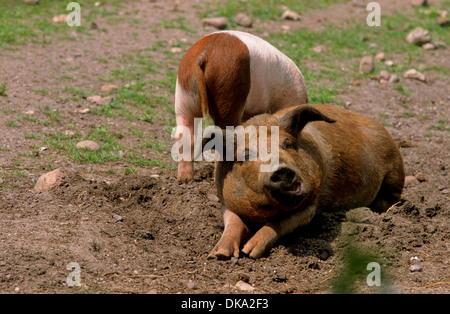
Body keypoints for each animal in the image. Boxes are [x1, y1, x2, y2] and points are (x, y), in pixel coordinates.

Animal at [207, 104, 404, 258]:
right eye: (246, 155)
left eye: (288, 144)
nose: (282, 169)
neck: (264, 211)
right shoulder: (226, 202)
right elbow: (233, 223)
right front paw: (218, 254)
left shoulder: (310, 207)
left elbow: (279, 223)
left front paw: (250, 252)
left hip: (394, 172)